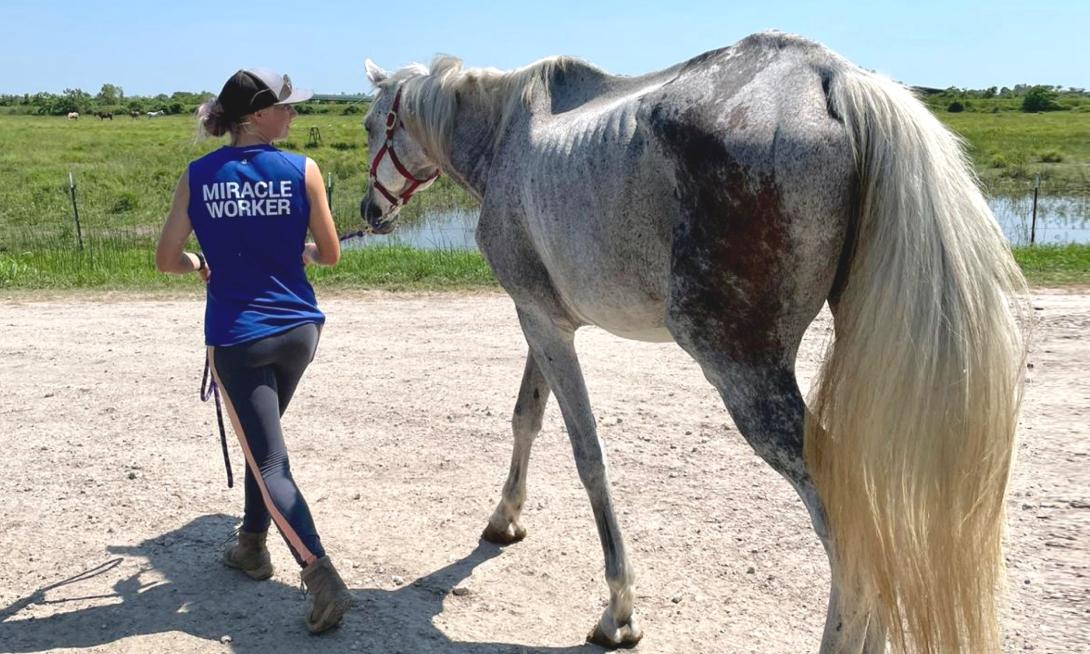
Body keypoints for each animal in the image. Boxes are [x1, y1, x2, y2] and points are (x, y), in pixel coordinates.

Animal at [361, 31, 1027, 653]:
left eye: (372, 125)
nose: (369, 212)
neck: (507, 135)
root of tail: (831, 78)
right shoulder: (541, 319)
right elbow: (528, 417)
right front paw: (504, 520)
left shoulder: (544, 324)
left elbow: (588, 456)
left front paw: (620, 611)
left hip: (743, 374)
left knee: (842, 515)